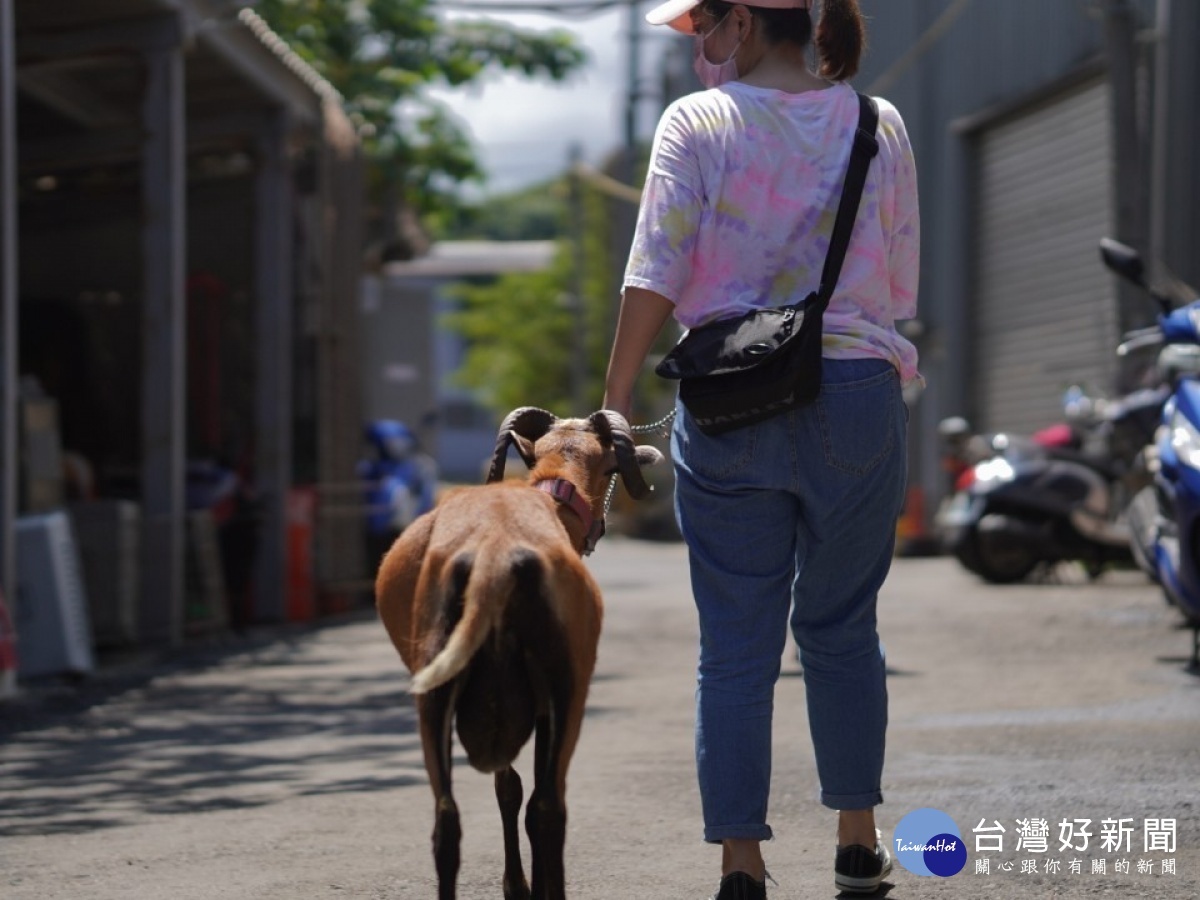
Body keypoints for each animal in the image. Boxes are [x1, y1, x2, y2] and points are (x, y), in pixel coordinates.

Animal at [376, 408, 667, 900]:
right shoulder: (553, 698)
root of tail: (493, 556)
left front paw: (516, 884)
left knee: (446, 823)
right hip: (566, 684)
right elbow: (533, 801)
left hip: (435, 685)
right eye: (610, 467)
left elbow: (507, 788)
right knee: (550, 808)